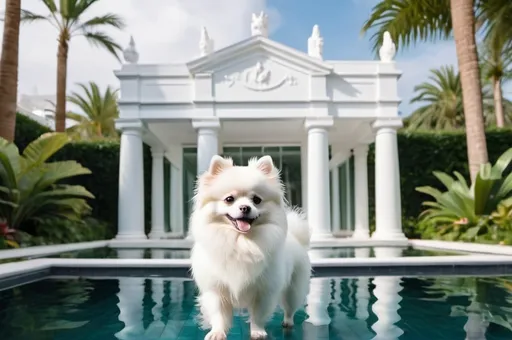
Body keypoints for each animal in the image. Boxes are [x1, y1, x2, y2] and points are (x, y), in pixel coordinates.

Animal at [190, 155, 310, 338]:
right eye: (229, 199)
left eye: (257, 200)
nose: (245, 207)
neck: (241, 242)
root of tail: (296, 237)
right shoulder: (216, 290)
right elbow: (218, 315)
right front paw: (217, 332)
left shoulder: (264, 291)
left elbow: (258, 315)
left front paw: (257, 332)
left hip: (293, 288)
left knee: (290, 307)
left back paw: (288, 322)